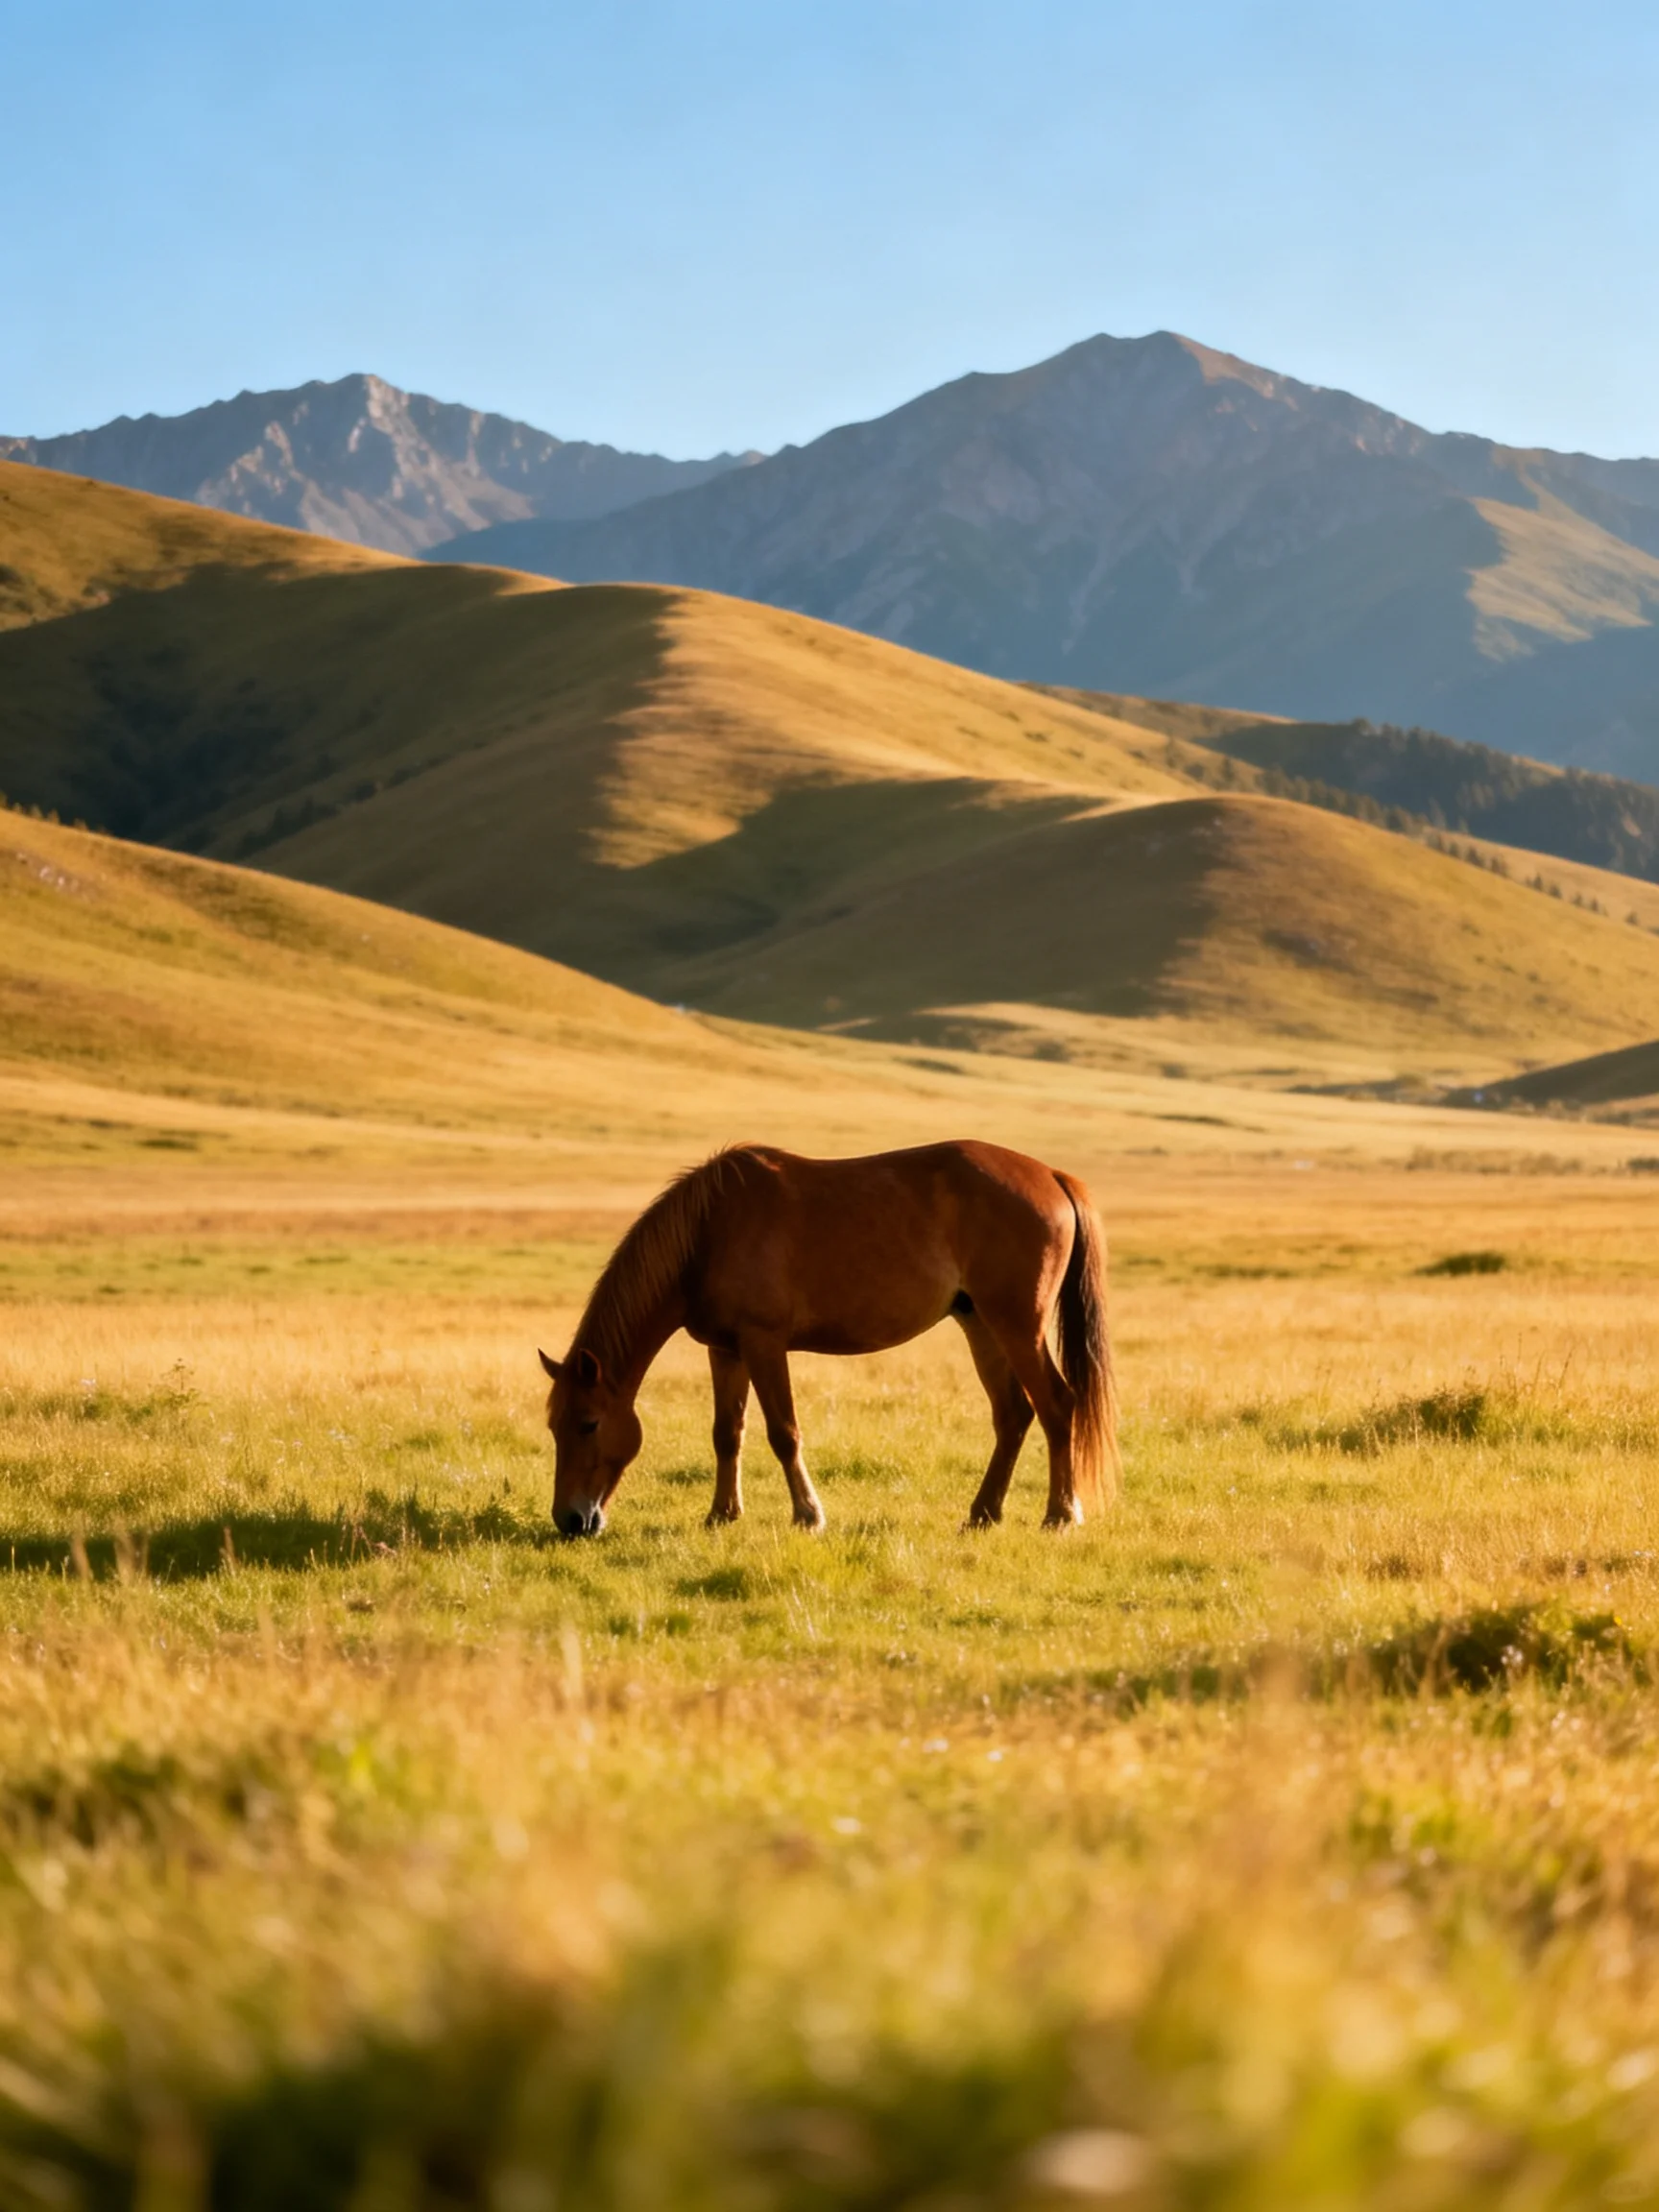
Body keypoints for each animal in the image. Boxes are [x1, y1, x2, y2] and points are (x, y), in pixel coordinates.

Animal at [537, 1139, 1118, 1537]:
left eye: (588, 1424)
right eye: (554, 1427)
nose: (570, 1520)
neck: (708, 1233)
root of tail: (1050, 1175)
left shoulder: (764, 1343)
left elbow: (783, 1432)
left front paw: (808, 1514)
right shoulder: (725, 1351)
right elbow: (727, 1434)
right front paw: (722, 1514)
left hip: (1018, 1325)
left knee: (1057, 1405)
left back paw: (1060, 1514)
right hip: (981, 1324)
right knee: (1013, 1415)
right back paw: (983, 1513)